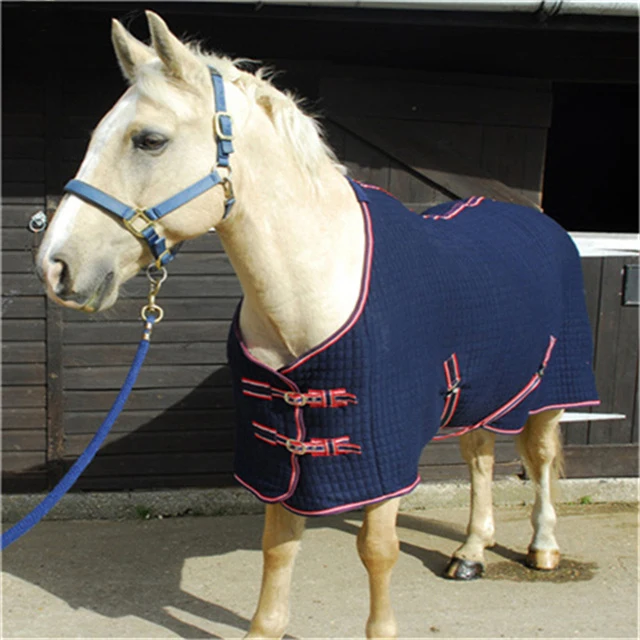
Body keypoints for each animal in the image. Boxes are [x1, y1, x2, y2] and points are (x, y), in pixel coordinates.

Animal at [36, 11, 599, 640]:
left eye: (149, 140)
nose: (55, 266)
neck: (314, 285)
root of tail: (540, 223)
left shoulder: (381, 449)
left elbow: (378, 551)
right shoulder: (280, 445)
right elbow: (279, 546)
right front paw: (265, 627)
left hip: (548, 392)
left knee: (542, 461)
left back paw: (543, 547)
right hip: (477, 390)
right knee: (479, 457)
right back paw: (472, 552)